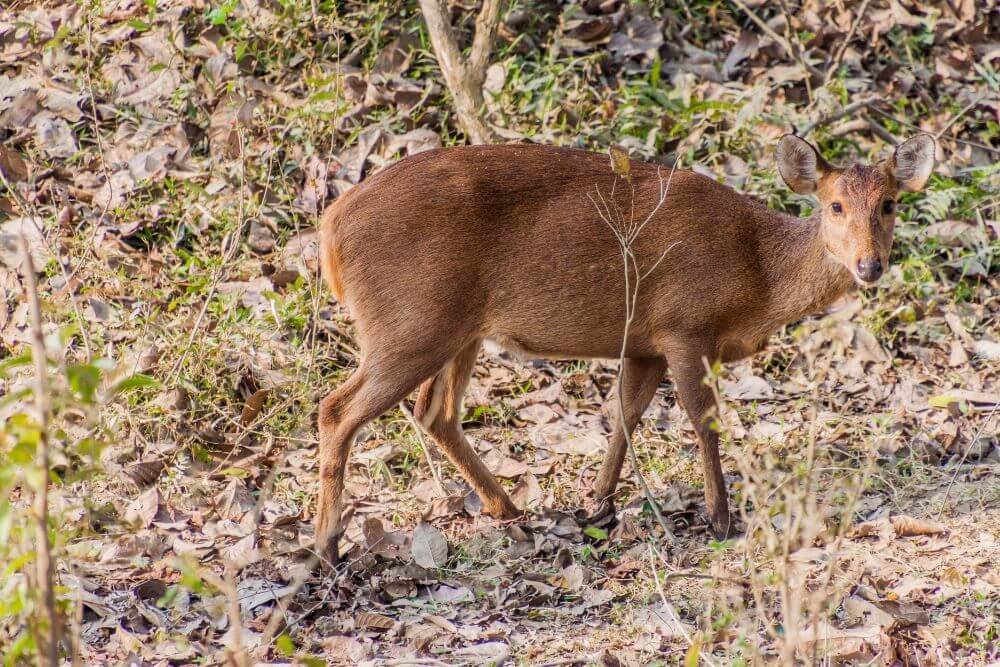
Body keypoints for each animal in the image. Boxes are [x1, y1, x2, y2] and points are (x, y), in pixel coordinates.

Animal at [318, 136, 936, 564]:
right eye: (835, 206)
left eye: (888, 204)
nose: (870, 264)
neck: (756, 276)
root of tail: (330, 228)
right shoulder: (685, 326)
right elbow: (703, 420)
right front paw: (720, 518)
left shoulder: (645, 342)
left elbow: (625, 414)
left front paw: (598, 504)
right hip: (410, 322)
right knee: (337, 409)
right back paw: (327, 543)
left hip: (455, 328)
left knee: (434, 412)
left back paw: (509, 509)